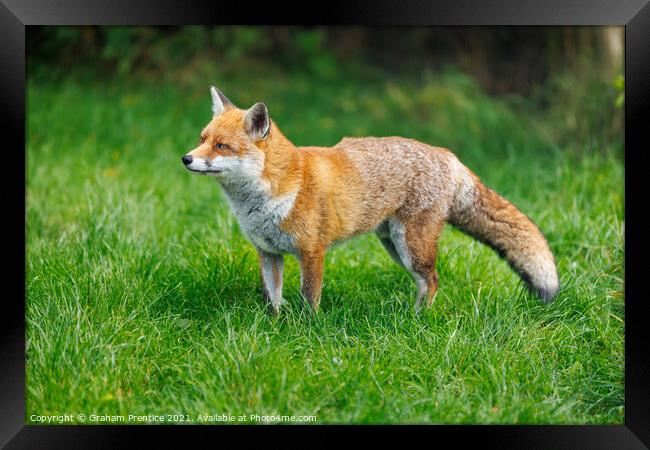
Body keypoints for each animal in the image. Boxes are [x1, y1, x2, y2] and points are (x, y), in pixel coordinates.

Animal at [181, 86, 556, 314]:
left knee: (433, 280)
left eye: (221, 146)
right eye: (202, 139)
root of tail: (448, 155)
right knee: (425, 282)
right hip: (394, 246)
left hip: (412, 246)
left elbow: (309, 300)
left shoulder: (312, 251)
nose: (186, 159)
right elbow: (273, 299)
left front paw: (305, 330)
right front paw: (274, 326)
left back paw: (420, 319)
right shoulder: (269, 252)